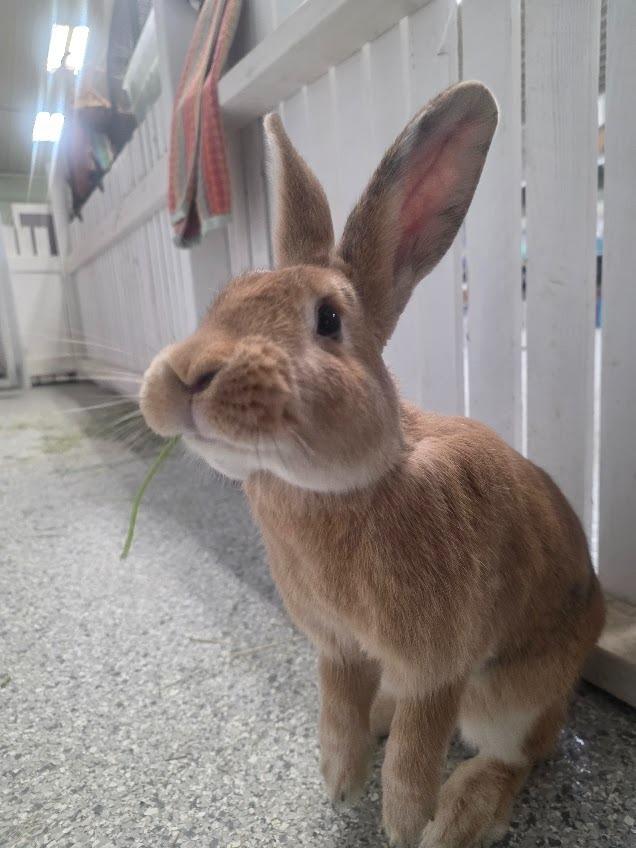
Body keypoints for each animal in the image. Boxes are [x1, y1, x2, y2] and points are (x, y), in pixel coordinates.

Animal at [140, 81, 605, 848]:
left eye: (328, 320)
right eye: (223, 300)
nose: (183, 376)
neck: (343, 487)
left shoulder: (436, 668)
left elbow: (417, 752)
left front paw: (403, 822)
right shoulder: (337, 648)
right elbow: (337, 709)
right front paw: (340, 781)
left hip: (508, 697)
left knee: (523, 752)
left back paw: (462, 815)